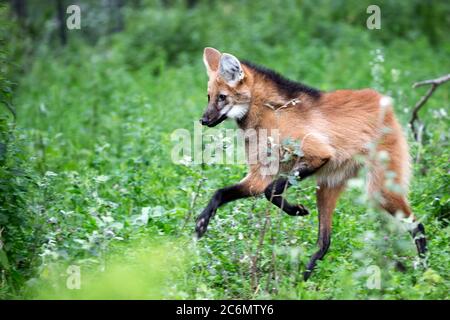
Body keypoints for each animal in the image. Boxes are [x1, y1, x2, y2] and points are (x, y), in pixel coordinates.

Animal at [196, 46, 426, 278]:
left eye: (222, 97)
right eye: (209, 97)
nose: (203, 120)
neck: (271, 114)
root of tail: (383, 101)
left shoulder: (319, 155)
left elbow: (270, 191)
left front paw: (295, 209)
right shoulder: (261, 174)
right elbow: (222, 193)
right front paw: (202, 222)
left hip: (380, 191)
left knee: (417, 225)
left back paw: (424, 271)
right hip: (327, 187)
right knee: (325, 242)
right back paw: (304, 279)